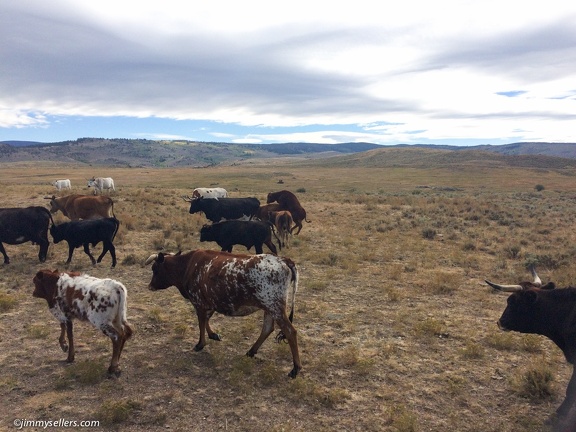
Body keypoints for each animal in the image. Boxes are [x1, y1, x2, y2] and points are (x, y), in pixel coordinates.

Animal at [144, 250, 302, 378]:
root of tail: (283, 260)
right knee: (267, 329)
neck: (188, 266)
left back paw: (295, 368)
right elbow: (206, 320)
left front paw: (200, 344)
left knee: (290, 331)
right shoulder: (210, 302)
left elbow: (201, 322)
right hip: (269, 308)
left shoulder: (198, 302)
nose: (150, 286)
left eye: (155, 269)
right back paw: (251, 351)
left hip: (275, 307)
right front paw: (213, 335)